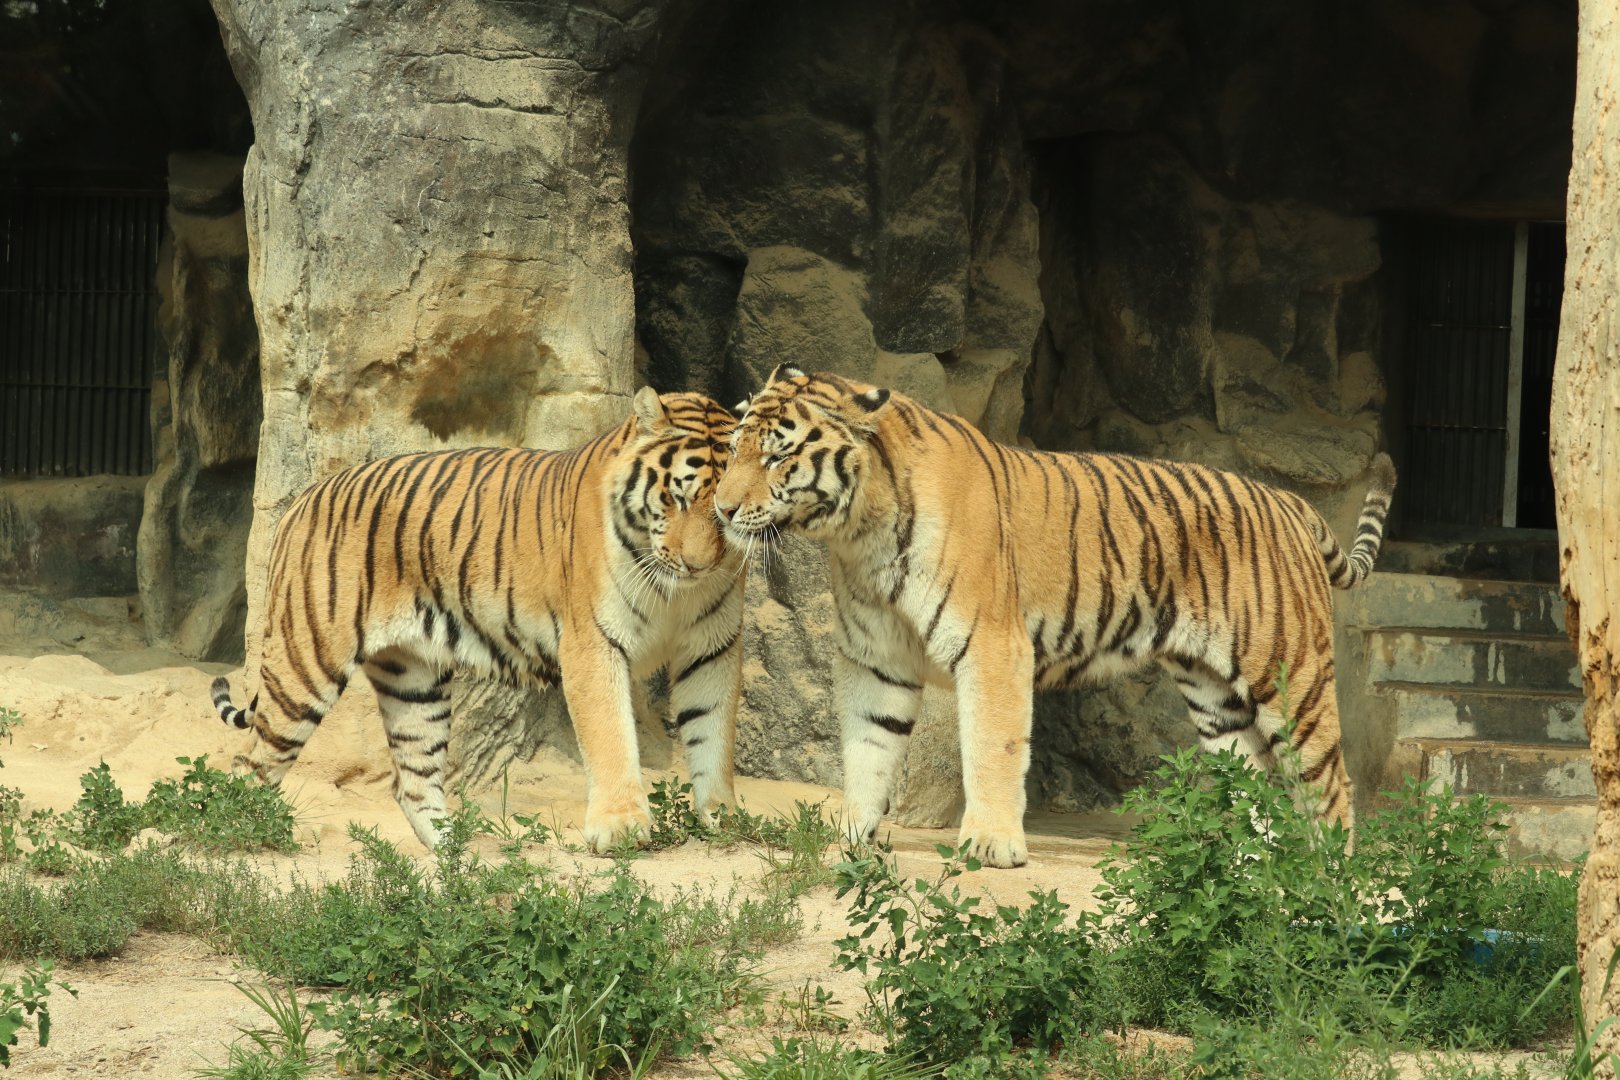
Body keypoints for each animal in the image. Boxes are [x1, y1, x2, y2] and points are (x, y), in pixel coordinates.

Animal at [210, 388, 747, 853]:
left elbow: (713, 732)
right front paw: (621, 829)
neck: (677, 593)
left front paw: (723, 816)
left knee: (412, 783)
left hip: (413, 682)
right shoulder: (594, 645)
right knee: (249, 762)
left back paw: (460, 860)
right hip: (305, 665)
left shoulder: (712, 649)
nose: (698, 566)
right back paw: (244, 842)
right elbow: (611, 735)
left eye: (726, 511)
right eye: (677, 499)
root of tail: (303, 499)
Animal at [714, 366, 1396, 868]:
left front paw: (990, 845)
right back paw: (1259, 868)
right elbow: (867, 748)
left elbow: (989, 746)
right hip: (1217, 699)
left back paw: (1326, 875)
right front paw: (853, 838)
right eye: (734, 447)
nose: (720, 509)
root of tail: (1291, 502)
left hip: (1290, 674)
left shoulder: (992, 646)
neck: (860, 529)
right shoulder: (874, 660)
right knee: (1260, 784)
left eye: (776, 459)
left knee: (1330, 784)